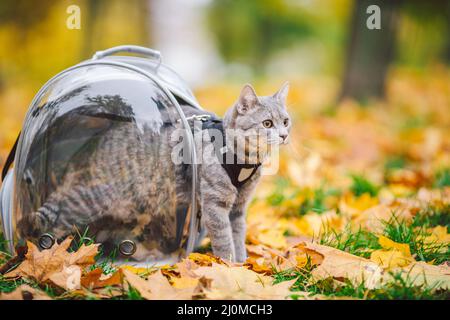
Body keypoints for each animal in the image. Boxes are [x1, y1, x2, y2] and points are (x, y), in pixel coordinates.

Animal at [19, 82, 290, 262]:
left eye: (285, 121)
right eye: (267, 123)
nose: (285, 135)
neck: (244, 160)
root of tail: (87, 152)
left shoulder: (238, 208)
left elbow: (238, 235)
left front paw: (242, 264)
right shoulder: (216, 204)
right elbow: (224, 239)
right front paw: (228, 266)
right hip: (88, 200)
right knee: (52, 223)